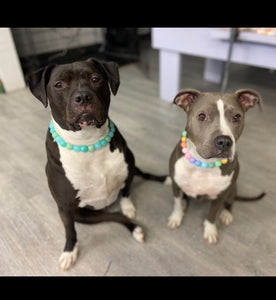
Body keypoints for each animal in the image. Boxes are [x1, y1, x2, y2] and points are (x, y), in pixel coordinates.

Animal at [27, 58, 166, 270]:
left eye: (95, 79)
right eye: (59, 84)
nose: (83, 97)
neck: (88, 142)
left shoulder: (127, 170)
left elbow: (126, 190)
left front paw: (128, 206)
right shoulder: (65, 208)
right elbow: (70, 231)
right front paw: (69, 252)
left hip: (132, 166)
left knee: (141, 177)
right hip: (86, 216)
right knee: (114, 217)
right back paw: (133, 228)